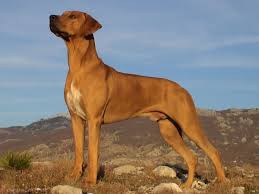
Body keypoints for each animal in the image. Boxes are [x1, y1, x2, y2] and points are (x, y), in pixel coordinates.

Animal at [49, 10, 228, 188]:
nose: (51, 17)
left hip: (188, 124)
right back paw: (186, 185)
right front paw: (73, 177)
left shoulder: (94, 119)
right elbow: (79, 151)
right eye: (63, 13)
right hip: (168, 130)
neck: (78, 67)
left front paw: (91, 181)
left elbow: (93, 153)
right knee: (192, 157)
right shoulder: (76, 118)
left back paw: (222, 181)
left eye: (73, 16)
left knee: (213, 151)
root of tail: (182, 88)